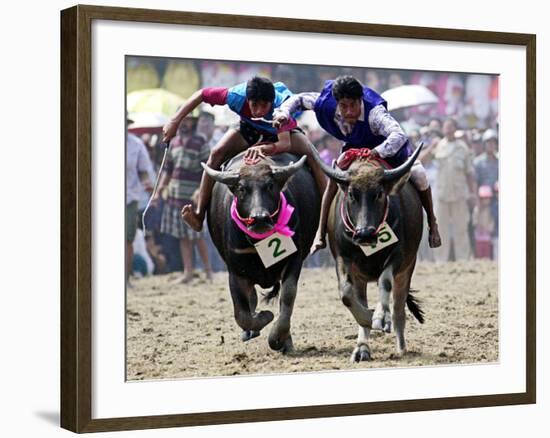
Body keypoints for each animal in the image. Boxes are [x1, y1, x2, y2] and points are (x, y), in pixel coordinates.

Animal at [202, 152, 322, 350]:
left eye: (270, 186)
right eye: (241, 188)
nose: (259, 218)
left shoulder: (294, 259)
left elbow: (287, 297)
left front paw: (278, 338)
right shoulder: (235, 271)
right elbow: (242, 314)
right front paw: (264, 317)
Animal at [312, 145, 424, 362]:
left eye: (379, 193)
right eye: (352, 194)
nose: (364, 233)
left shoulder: (398, 257)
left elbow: (384, 282)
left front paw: (380, 317)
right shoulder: (343, 258)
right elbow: (346, 294)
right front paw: (368, 317)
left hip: (408, 268)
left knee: (399, 309)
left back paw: (401, 347)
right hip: (360, 276)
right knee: (359, 298)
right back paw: (362, 348)